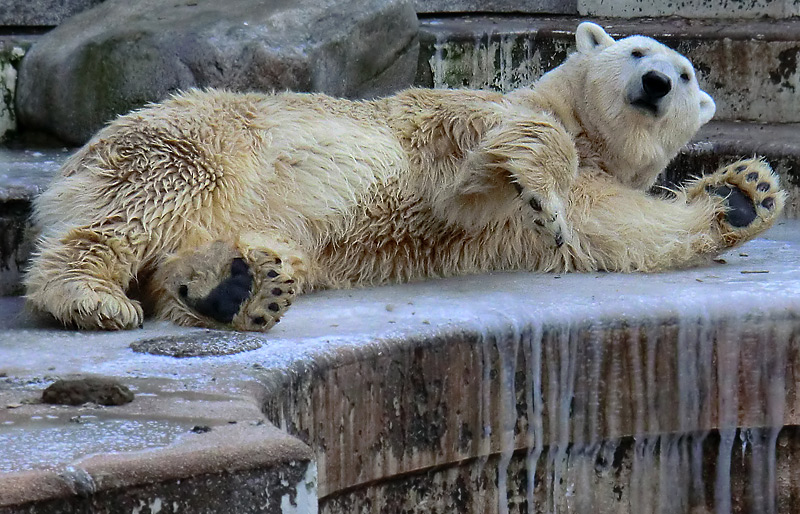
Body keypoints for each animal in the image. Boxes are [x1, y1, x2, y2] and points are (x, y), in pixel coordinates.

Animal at [26, 22, 788, 330]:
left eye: (684, 74)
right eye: (634, 51)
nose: (655, 83)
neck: (587, 129)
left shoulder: (596, 194)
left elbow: (626, 230)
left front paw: (744, 194)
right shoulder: (464, 117)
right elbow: (493, 159)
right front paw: (540, 192)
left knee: (177, 256)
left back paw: (235, 286)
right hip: (198, 142)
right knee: (146, 204)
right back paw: (90, 296)